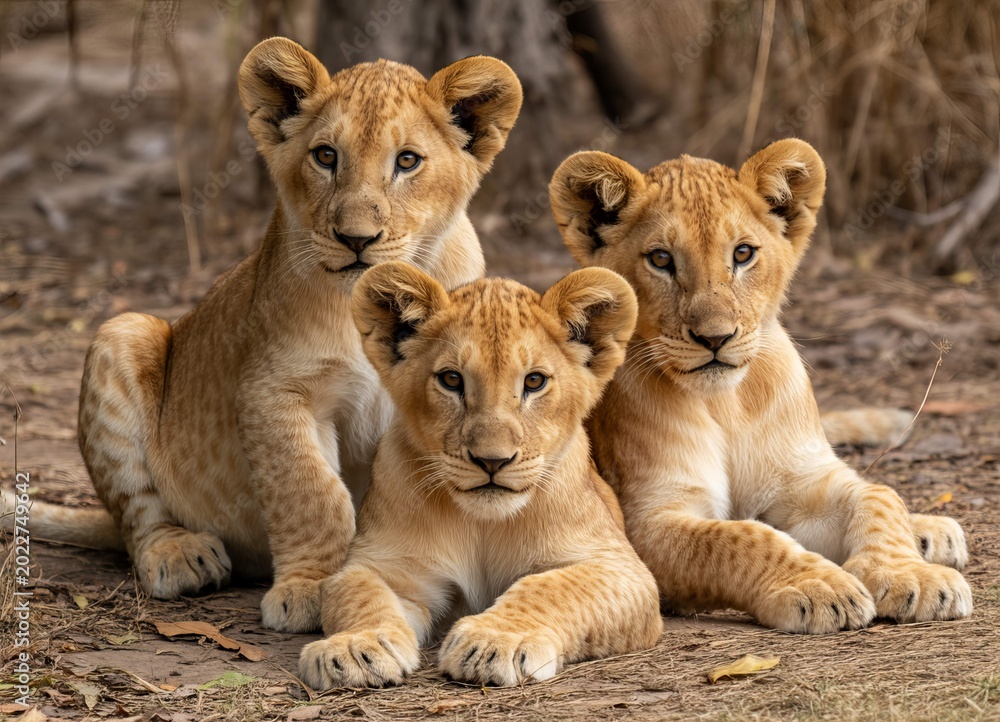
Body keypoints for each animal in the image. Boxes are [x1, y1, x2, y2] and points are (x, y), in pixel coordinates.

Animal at [12, 37, 522, 633]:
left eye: (407, 161)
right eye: (325, 156)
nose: (356, 239)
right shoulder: (275, 391)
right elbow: (313, 493)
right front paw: (313, 589)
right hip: (123, 330)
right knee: (137, 511)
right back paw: (180, 556)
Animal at [298, 262, 663, 689]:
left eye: (534, 381)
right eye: (451, 379)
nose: (492, 461)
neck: (482, 524)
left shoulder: (622, 568)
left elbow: (549, 586)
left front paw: (496, 640)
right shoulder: (384, 563)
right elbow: (356, 592)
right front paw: (356, 646)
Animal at [548, 139, 971, 633]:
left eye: (743, 254)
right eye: (660, 259)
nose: (716, 338)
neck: (727, 404)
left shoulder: (802, 479)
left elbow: (878, 495)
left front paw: (911, 576)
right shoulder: (646, 522)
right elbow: (740, 537)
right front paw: (819, 585)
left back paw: (932, 533)